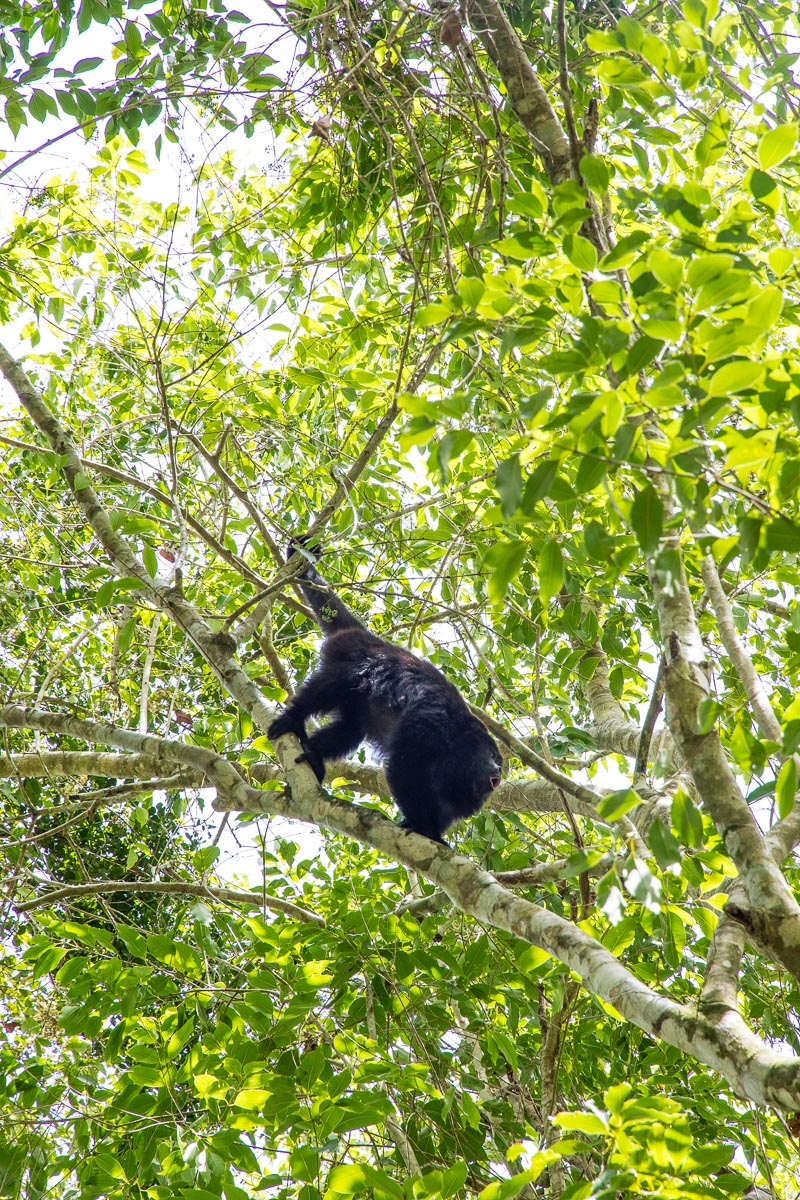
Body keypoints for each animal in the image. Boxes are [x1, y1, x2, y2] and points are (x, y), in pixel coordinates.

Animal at [268, 540, 503, 844]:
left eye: (499, 760)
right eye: (492, 755)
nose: (499, 770)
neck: (458, 735)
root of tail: (368, 637)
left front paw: (435, 831)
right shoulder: (430, 720)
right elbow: (405, 766)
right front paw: (424, 827)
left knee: (350, 730)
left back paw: (314, 756)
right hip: (347, 660)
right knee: (324, 690)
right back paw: (291, 719)